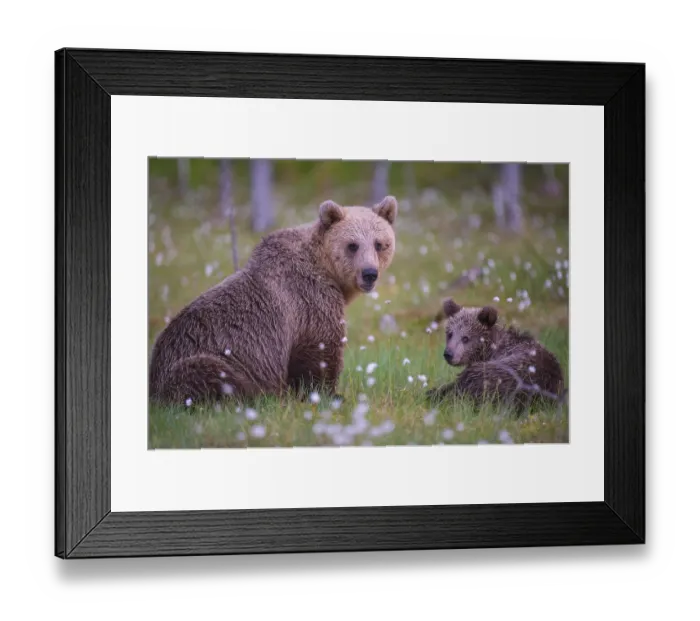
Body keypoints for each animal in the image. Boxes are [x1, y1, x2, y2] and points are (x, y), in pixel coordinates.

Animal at [148, 195, 399, 407]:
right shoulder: (309, 300)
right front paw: (330, 394)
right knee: (212, 376)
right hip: (200, 361)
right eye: (352, 245)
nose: (369, 274)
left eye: (379, 243)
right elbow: (321, 350)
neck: (328, 272)